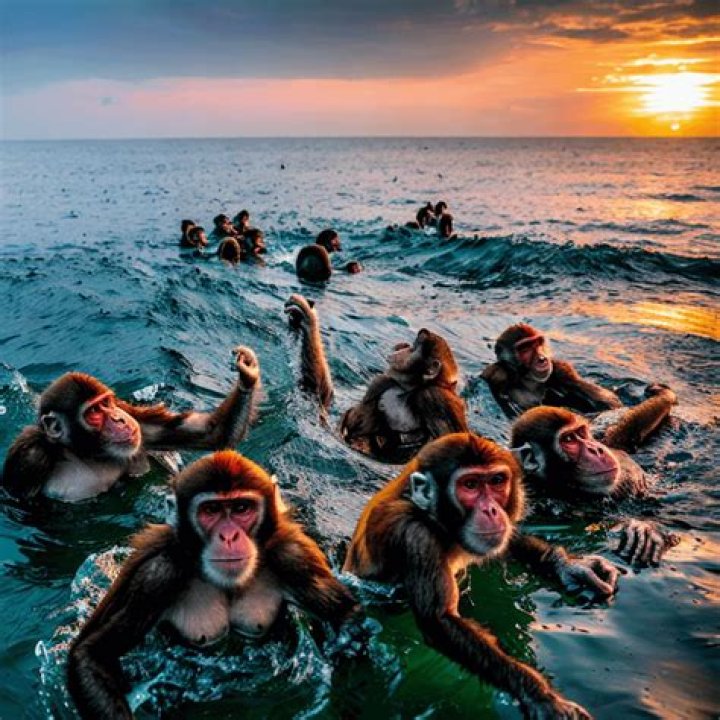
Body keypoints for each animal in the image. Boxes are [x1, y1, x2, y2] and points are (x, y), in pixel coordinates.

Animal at [2, 347, 261, 502]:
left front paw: (247, 372)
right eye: (94, 411)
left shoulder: (141, 426)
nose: (119, 418)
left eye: (106, 402)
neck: (87, 453)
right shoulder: (28, 460)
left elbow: (213, 433)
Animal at [67, 450, 364, 720]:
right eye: (211, 510)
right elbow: (91, 655)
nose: (229, 536)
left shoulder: (294, 559)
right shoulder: (156, 577)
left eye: (242, 508)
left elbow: (348, 619)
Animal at [284, 294, 469, 464]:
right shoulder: (385, 381)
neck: (409, 389)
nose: (403, 347)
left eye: (414, 348)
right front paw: (307, 319)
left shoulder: (434, 396)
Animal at [344, 432, 619, 719]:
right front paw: (539, 694)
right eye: (470, 485)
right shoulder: (414, 536)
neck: (430, 516)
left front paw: (571, 568)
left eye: (496, 481)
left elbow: (507, 541)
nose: (491, 510)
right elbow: (440, 620)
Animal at [481, 323, 622, 419]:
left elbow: (609, 402)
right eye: (525, 348)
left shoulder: (562, 370)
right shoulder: (495, 375)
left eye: (538, 343)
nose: (542, 359)